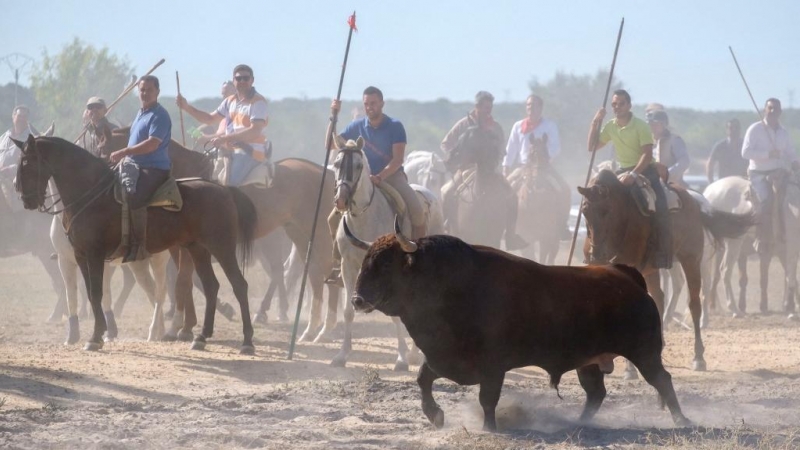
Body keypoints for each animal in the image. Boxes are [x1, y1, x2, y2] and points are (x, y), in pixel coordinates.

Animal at [12, 135, 256, 354]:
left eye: (26, 162)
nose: (25, 199)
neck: (91, 195)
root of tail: (223, 189)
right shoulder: (80, 256)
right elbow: (90, 293)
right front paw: (98, 334)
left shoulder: (95, 255)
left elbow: (97, 293)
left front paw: (96, 337)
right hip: (197, 249)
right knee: (210, 286)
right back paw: (201, 337)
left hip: (221, 248)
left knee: (238, 285)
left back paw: (246, 342)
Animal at [330, 136, 444, 370]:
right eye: (336, 163)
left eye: (358, 165)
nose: (341, 200)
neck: (364, 219)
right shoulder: (348, 267)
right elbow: (347, 311)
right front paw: (342, 355)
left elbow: (396, 314)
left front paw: (401, 359)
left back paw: (415, 354)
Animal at [346, 220, 692, 430]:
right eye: (365, 262)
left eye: (386, 264)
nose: (357, 299)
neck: (449, 283)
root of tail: (624, 275)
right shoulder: (443, 359)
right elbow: (423, 378)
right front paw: (436, 415)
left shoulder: (492, 367)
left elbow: (487, 399)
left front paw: (489, 428)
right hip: (589, 362)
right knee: (596, 394)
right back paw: (579, 423)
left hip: (644, 353)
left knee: (662, 380)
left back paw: (683, 420)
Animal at [580, 169, 752, 372]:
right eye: (584, 211)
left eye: (607, 211)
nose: (596, 253)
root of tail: (694, 200)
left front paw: (630, 369)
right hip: (652, 269)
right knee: (659, 298)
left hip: (691, 259)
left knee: (694, 304)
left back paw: (699, 357)